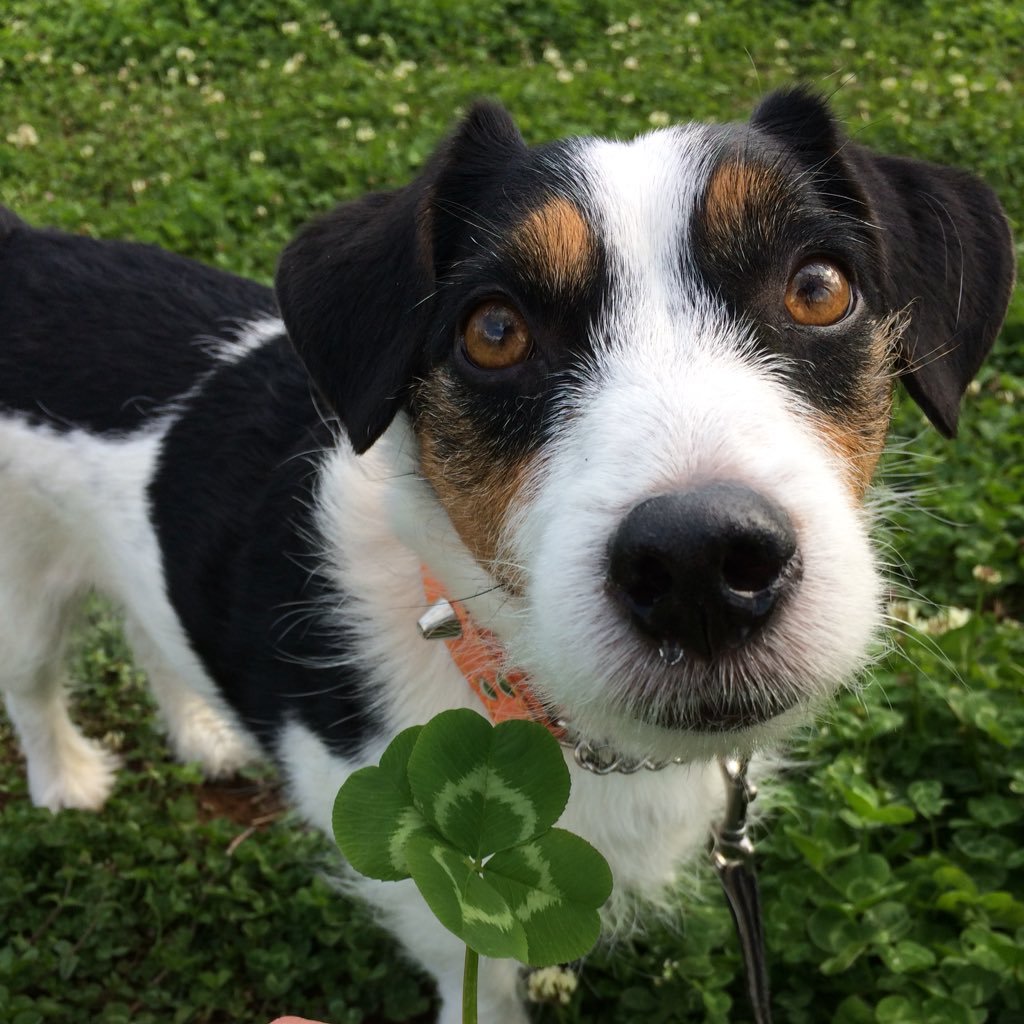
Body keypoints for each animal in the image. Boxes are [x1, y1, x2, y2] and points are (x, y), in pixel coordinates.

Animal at [0, 92, 1007, 1019]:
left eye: (819, 288)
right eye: (493, 331)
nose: (701, 566)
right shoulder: (447, 914)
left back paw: (203, 733)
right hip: (23, 594)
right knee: (33, 684)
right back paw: (68, 780)